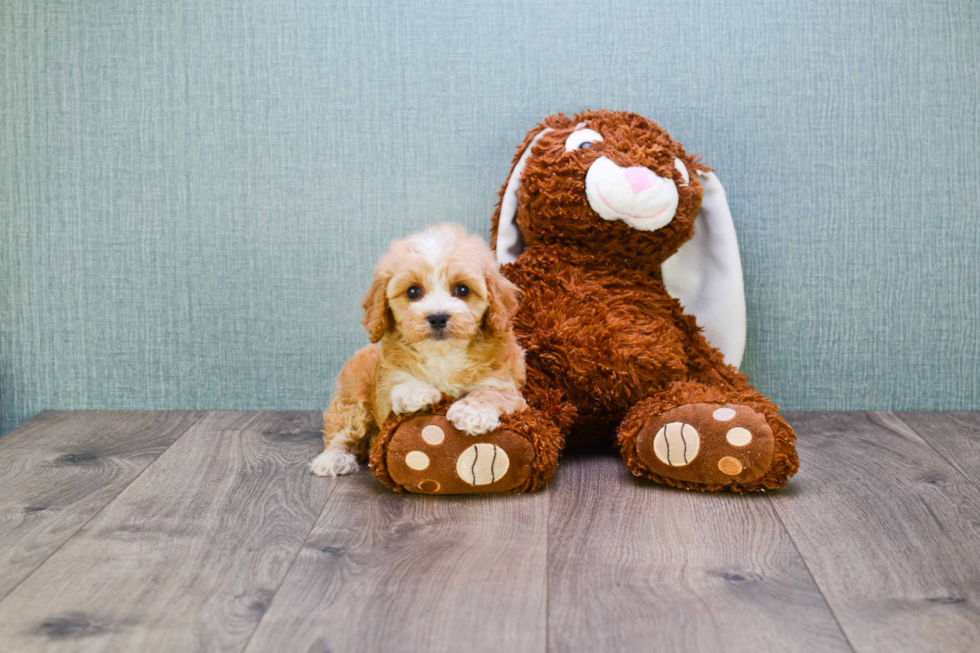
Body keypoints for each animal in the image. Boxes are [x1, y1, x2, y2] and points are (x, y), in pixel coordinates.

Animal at [312, 222, 528, 476]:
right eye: (413, 292)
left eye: (462, 290)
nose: (438, 317)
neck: (443, 354)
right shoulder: (386, 385)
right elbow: (400, 382)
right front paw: (416, 393)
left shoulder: (508, 387)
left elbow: (490, 392)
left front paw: (471, 412)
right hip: (353, 398)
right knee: (342, 431)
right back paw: (333, 458)